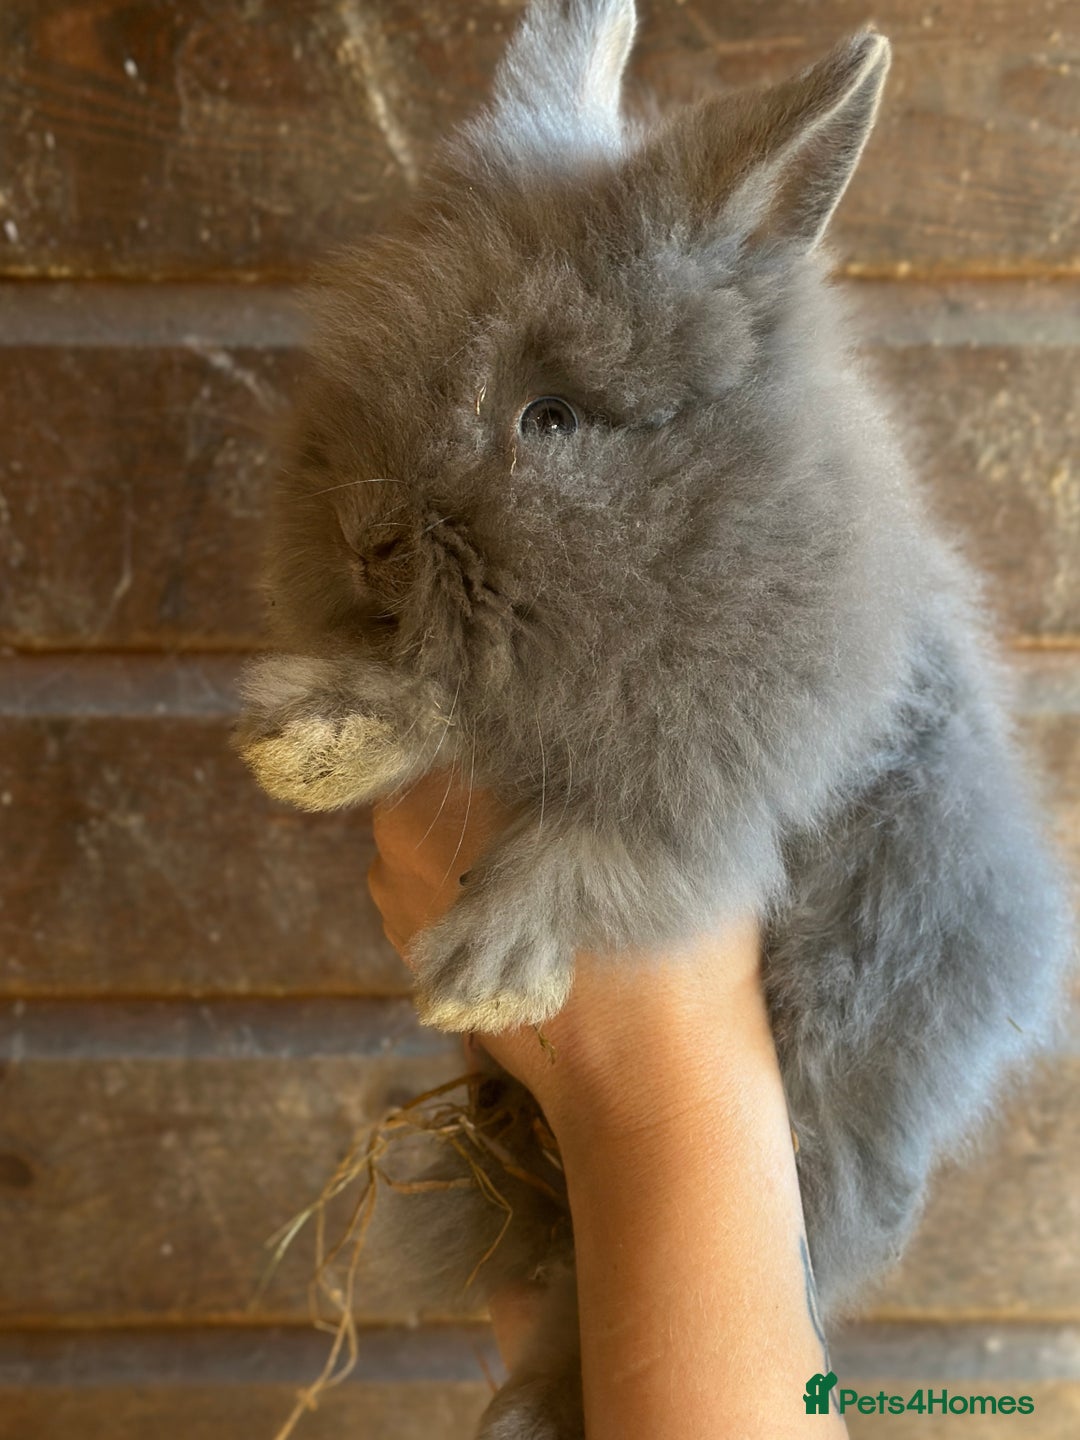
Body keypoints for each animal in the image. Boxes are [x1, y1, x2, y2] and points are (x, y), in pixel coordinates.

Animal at [233, 2, 1074, 1435]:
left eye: (551, 416)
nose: (365, 540)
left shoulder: (740, 768)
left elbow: (617, 846)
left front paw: (485, 968)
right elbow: (440, 698)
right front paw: (319, 744)